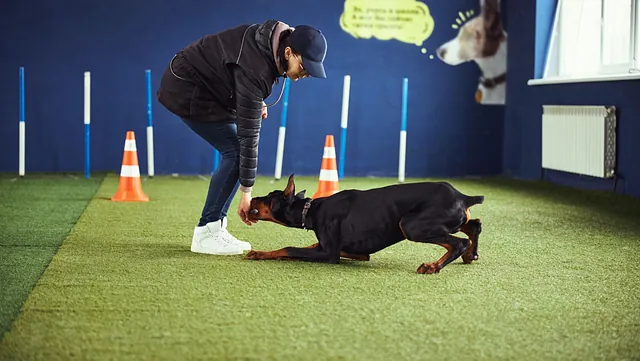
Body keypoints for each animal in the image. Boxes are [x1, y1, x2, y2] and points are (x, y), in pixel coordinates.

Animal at [245, 174, 484, 272]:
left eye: (269, 197)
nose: (252, 197)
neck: (311, 210)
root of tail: (463, 197)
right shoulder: (355, 251)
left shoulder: (329, 254)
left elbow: (289, 249)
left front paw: (258, 253)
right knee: (474, 224)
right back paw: (470, 254)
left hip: (410, 225)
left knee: (458, 242)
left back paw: (434, 266)